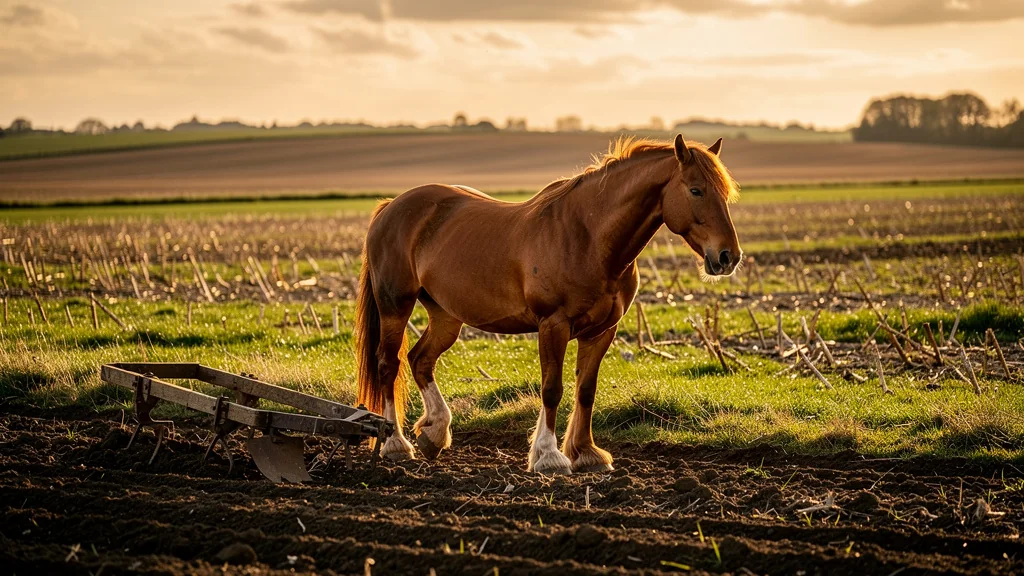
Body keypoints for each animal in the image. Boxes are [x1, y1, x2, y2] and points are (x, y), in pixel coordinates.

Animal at [355, 134, 741, 474]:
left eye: (725, 193)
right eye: (696, 189)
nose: (728, 257)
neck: (588, 237)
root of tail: (391, 207)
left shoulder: (602, 331)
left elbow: (586, 390)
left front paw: (586, 453)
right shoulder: (553, 324)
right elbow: (552, 389)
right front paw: (549, 456)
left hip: (446, 316)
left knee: (420, 360)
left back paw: (434, 432)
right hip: (395, 305)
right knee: (388, 364)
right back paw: (395, 444)